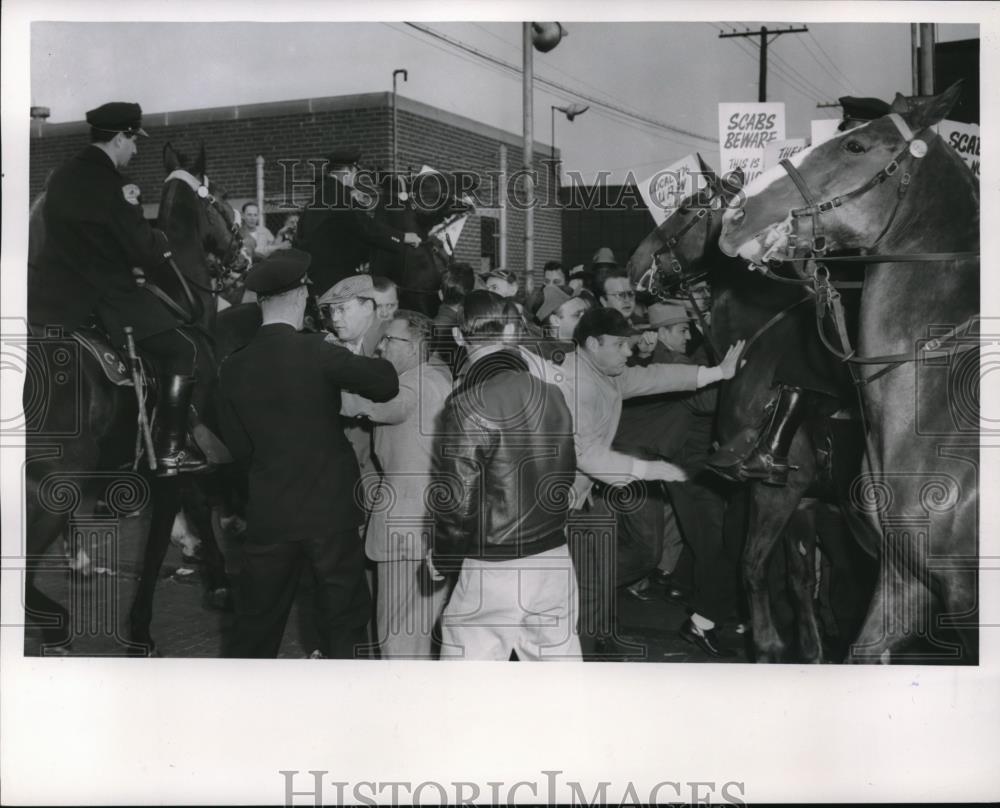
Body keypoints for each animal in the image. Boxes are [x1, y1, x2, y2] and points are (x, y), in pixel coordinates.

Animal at [24, 140, 247, 656]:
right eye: (223, 202)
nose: (244, 257)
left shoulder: (184, 448)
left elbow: (197, 508)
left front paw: (219, 581)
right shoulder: (170, 455)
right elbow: (164, 531)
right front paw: (141, 627)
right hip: (53, 486)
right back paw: (58, 621)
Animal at [628, 166, 880, 664]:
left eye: (687, 208)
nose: (634, 263)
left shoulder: (774, 493)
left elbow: (750, 566)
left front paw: (767, 646)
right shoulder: (805, 502)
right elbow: (798, 582)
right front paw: (811, 651)